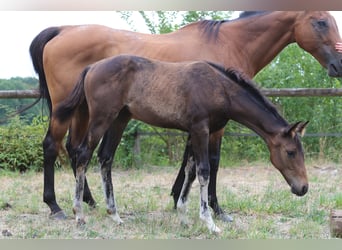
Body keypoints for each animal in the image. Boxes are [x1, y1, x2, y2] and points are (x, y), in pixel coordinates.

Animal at [54, 54, 310, 232]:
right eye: (290, 152)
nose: (303, 188)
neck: (221, 88)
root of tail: (92, 67)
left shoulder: (195, 133)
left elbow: (190, 171)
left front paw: (184, 216)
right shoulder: (200, 130)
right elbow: (204, 171)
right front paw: (210, 223)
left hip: (120, 118)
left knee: (105, 158)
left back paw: (115, 215)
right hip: (101, 118)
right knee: (83, 155)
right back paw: (79, 214)